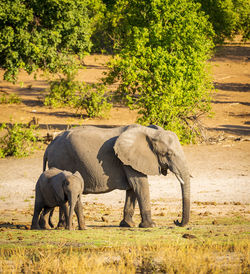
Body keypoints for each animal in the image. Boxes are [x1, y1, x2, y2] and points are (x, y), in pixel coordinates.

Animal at [44, 124, 190, 227]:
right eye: (169, 154)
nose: (176, 221)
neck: (149, 132)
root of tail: (50, 145)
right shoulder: (127, 159)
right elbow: (140, 184)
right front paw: (151, 225)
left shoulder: (130, 160)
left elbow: (132, 188)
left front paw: (128, 225)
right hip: (61, 160)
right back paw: (63, 226)